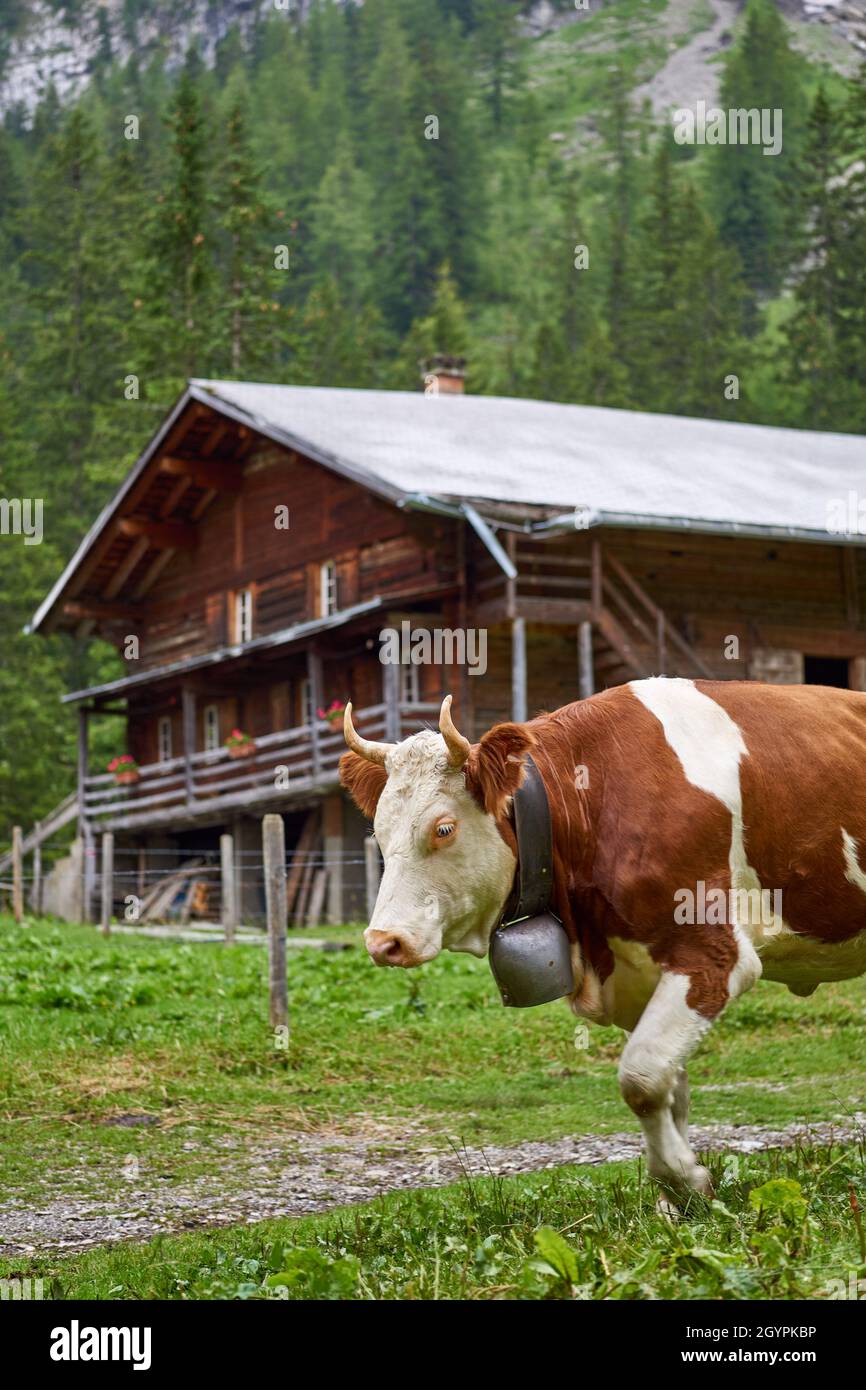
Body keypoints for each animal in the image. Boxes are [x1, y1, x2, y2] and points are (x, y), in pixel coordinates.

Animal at [340, 678, 866, 1200]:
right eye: (379, 834)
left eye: (444, 828)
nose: (382, 942)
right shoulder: (636, 973)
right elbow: (671, 1090)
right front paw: (674, 1201)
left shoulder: (713, 955)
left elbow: (642, 1078)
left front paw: (686, 1180)